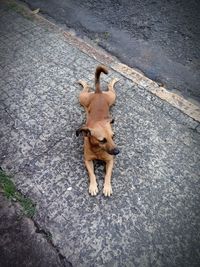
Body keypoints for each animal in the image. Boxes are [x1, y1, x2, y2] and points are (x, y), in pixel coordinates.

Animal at [76, 65, 119, 197]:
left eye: (113, 136)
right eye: (102, 140)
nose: (118, 152)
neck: (98, 150)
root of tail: (98, 92)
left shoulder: (110, 161)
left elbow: (108, 175)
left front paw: (107, 187)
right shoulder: (87, 160)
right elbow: (92, 174)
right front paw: (93, 186)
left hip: (112, 97)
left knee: (110, 87)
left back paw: (113, 80)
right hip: (82, 99)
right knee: (86, 87)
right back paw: (83, 82)